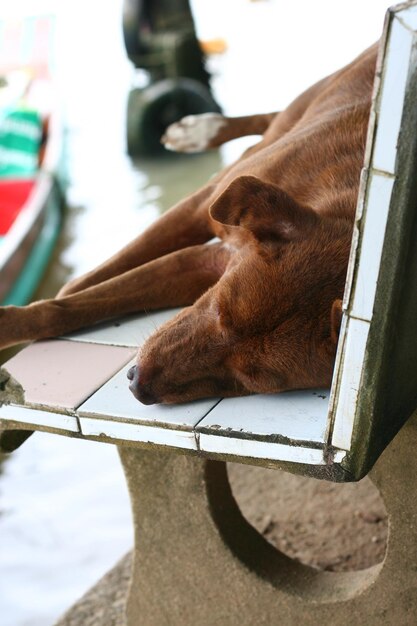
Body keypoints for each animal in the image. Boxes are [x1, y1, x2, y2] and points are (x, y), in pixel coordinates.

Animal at [0, 45, 376, 404]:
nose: (137, 385)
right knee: (273, 118)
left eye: (250, 380)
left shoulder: (203, 262)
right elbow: (75, 295)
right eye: (220, 310)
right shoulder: (199, 211)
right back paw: (199, 129)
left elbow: (88, 302)